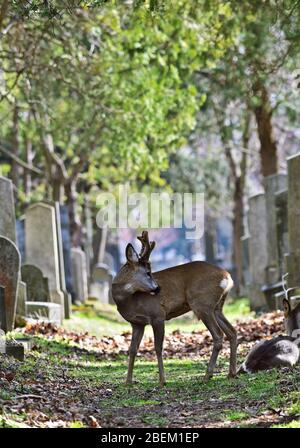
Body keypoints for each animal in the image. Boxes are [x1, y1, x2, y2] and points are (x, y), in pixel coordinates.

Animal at [112, 231, 237, 384]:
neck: (128, 300)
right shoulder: (137, 323)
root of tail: (228, 277)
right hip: (217, 307)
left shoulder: (157, 315)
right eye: (147, 272)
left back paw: (207, 375)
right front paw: (128, 381)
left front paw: (162, 381)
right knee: (232, 332)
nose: (158, 288)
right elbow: (132, 349)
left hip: (202, 304)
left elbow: (158, 347)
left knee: (218, 335)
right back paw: (231, 373)